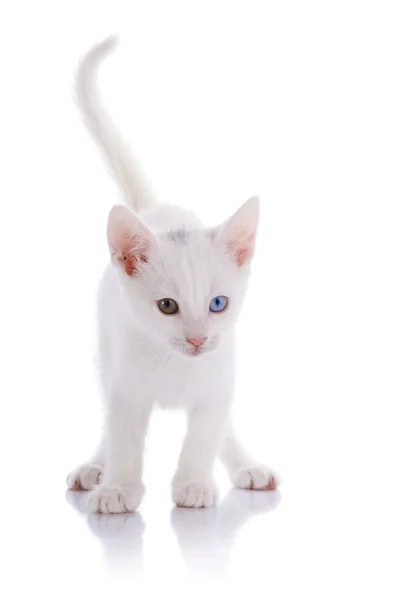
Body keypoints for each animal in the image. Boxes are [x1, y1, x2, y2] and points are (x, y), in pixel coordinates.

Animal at [66, 37, 278, 512]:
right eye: (167, 306)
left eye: (218, 303)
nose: (198, 339)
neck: (175, 367)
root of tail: (156, 210)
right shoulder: (125, 387)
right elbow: (122, 435)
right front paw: (119, 488)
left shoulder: (218, 381)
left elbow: (205, 433)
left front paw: (194, 484)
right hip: (105, 353)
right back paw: (95, 467)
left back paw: (246, 465)